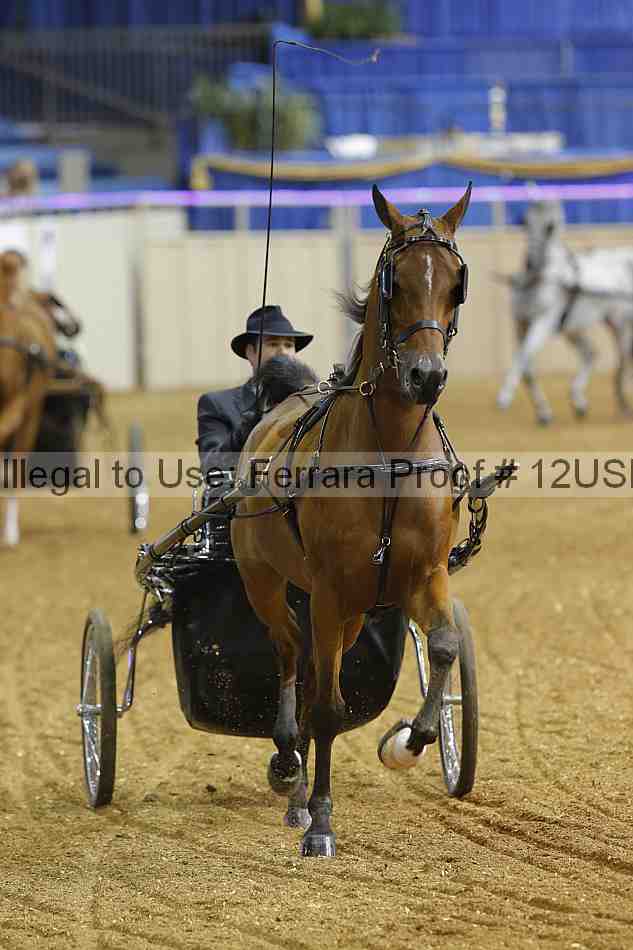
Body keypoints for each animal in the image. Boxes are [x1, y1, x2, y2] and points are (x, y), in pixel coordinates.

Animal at [231, 184, 471, 857]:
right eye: (395, 283)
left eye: (455, 285)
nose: (426, 376)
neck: (389, 457)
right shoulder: (331, 588)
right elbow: (328, 709)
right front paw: (321, 821)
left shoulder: (421, 577)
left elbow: (444, 646)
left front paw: (409, 743)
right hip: (269, 584)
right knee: (293, 657)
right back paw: (290, 768)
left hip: (353, 606)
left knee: (317, 666)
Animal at [497, 201, 633, 423]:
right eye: (525, 222)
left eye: (550, 227)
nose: (531, 262)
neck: (539, 279)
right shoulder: (520, 323)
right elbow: (527, 367)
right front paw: (543, 412)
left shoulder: (542, 322)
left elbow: (522, 356)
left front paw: (504, 396)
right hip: (575, 328)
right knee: (591, 354)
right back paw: (580, 402)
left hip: (621, 324)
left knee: (622, 359)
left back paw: (621, 402)